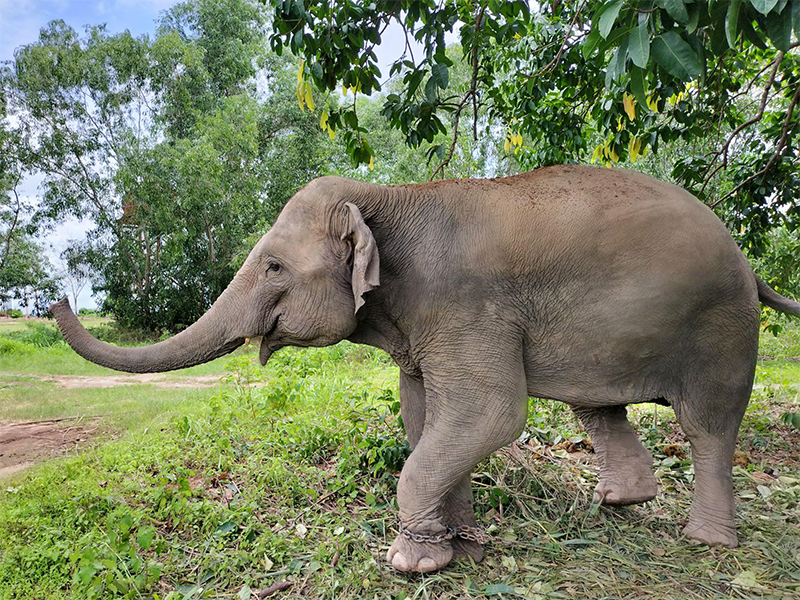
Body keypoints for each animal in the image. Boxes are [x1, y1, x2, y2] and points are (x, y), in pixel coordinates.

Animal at [50, 164, 800, 572]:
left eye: (274, 267)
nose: (54, 297)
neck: (386, 194)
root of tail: (749, 265)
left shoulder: (467, 306)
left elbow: (488, 413)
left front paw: (413, 562)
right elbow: (426, 419)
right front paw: (461, 541)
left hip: (720, 325)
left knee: (707, 425)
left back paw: (706, 540)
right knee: (598, 406)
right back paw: (619, 504)